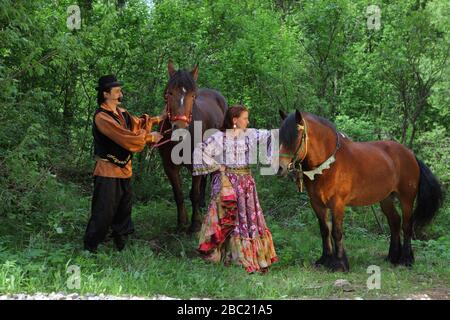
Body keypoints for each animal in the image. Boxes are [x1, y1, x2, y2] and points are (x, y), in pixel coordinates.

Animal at [158, 61, 229, 232]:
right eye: (169, 93)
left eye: (192, 96)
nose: (180, 127)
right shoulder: (169, 166)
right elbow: (178, 194)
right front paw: (182, 222)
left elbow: (194, 194)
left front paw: (195, 224)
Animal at [278, 110, 442, 272]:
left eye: (295, 137)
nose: (281, 168)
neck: (328, 165)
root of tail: (410, 154)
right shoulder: (317, 204)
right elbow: (325, 231)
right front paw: (325, 260)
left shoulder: (337, 204)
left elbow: (337, 232)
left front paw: (340, 264)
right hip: (386, 199)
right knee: (394, 222)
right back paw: (392, 257)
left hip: (406, 198)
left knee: (407, 225)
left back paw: (406, 260)